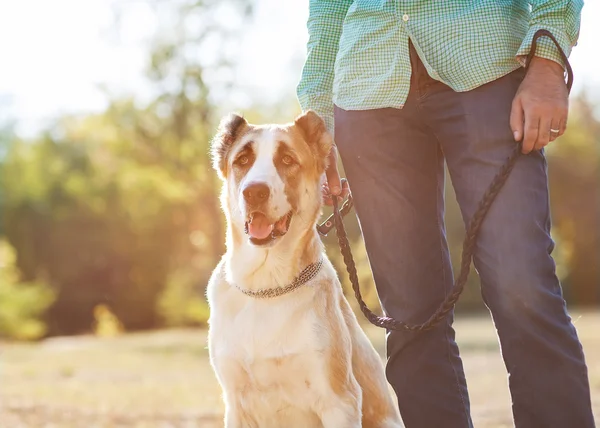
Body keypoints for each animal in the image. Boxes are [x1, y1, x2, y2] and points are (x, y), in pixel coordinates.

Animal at [207, 111, 404, 428]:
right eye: (242, 160)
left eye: (287, 160)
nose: (254, 192)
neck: (266, 286)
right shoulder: (236, 405)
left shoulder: (339, 400)